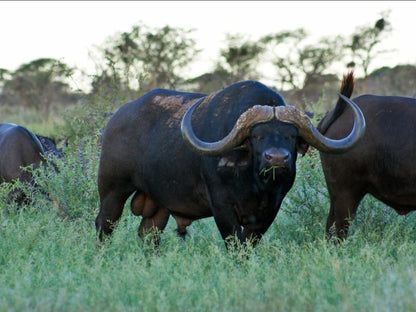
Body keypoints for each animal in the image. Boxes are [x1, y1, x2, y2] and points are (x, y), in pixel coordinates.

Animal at [96, 80, 366, 249]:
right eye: (257, 136)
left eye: (290, 135)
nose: (277, 158)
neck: (255, 184)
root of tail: (115, 120)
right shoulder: (222, 207)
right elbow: (235, 243)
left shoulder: (270, 210)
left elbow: (249, 243)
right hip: (112, 191)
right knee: (104, 225)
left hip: (159, 204)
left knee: (148, 234)